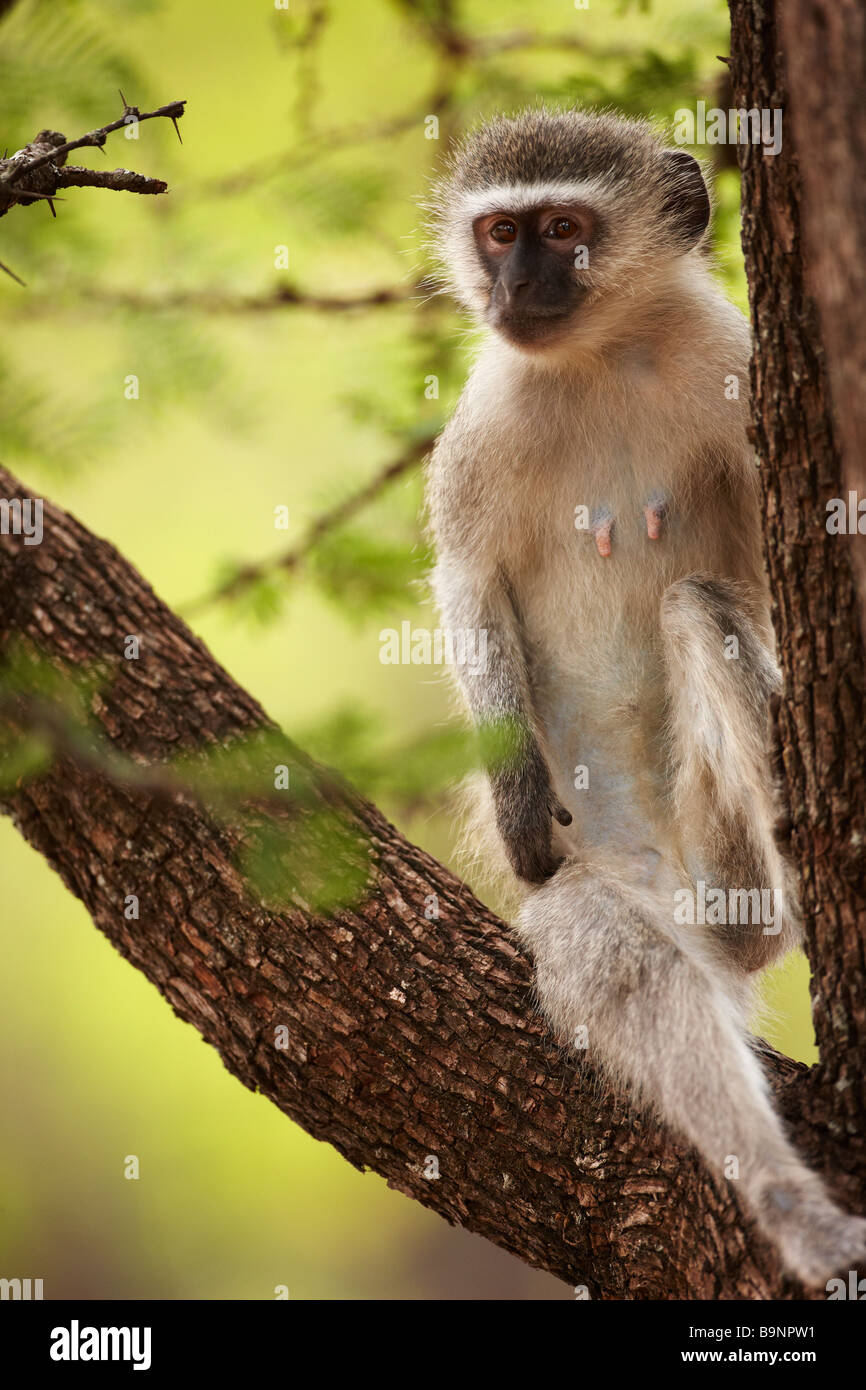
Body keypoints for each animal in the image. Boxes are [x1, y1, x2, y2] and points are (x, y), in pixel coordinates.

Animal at [428, 108, 866, 1278]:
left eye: (563, 229)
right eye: (499, 232)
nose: (514, 285)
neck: (604, 355)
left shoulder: (735, 366)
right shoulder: (482, 424)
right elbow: (466, 584)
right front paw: (516, 805)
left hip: (724, 862)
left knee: (693, 605)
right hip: (617, 879)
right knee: (626, 963)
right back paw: (792, 1205)